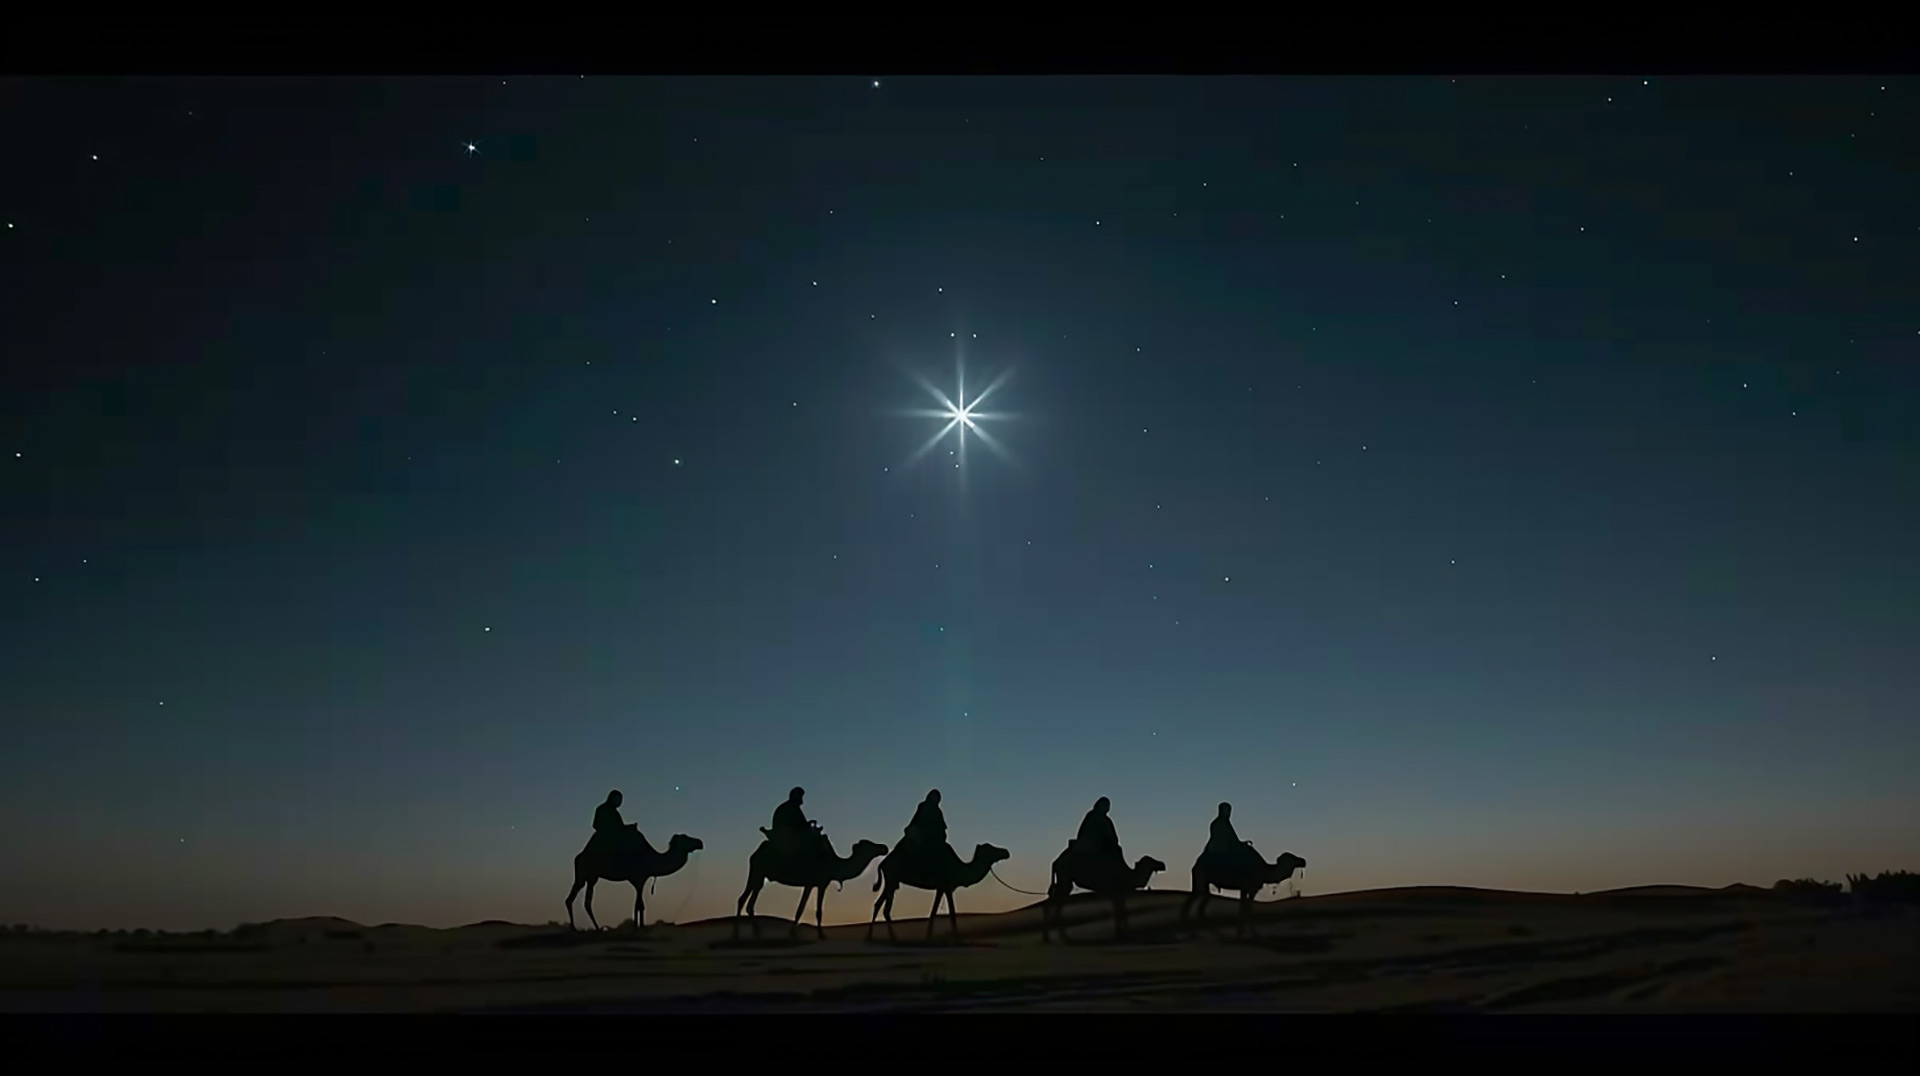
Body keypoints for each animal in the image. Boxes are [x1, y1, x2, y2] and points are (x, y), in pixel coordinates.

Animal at [560, 837, 706, 929]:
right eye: (685, 838)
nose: (700, 842)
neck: (653, 859)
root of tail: (578, 857)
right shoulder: (639, 878)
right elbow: (640, 905)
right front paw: (639, 926)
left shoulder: (638, 880)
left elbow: (638, 904)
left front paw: (638, 925)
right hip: (586, 873)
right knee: (580, 900)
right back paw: (588, 928)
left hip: (590, 877)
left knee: (578, 900)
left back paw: (582, 928)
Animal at [729, 826, 887, 937]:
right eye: (868, 845)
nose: (884, 847)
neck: (833, 864)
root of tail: (755, 853)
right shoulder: (818, 883)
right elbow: (814, 910)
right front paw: (820, 935)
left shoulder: (812, 884)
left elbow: (802, 909)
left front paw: (793, 932)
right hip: (757, 871)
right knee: (743, 898)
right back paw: (736, 934)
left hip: (761, 876)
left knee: (749, 900)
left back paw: (756, 932)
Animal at [875, 845, 1021, 937]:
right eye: (990, 848)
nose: (1006, 852)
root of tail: (882, 864)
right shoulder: (947, 886)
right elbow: (952, 912)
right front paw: (956, 937)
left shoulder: (941, 887)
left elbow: (933, 912)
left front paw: (928, 936)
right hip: (892, 878)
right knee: (886, 909)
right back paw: (893, 939)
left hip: (891, 881)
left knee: (878, 904)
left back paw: (872, 937)